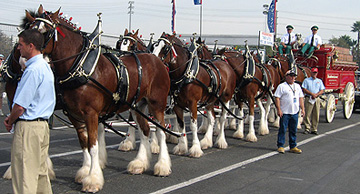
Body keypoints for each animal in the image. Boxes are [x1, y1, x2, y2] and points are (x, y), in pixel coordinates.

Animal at [26, 4, 170, 192]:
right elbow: (84, 143)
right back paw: (139, 163)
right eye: (29, 28)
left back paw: (163, 166)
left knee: (160, 132)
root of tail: (157, 60)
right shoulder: (74, 115)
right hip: (138, 106)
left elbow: (93, 145)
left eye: (45, 31)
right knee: (145, 129)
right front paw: (85, 172)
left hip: (157, 104)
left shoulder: (91, 114)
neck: (81, 67)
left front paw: (93, 179)